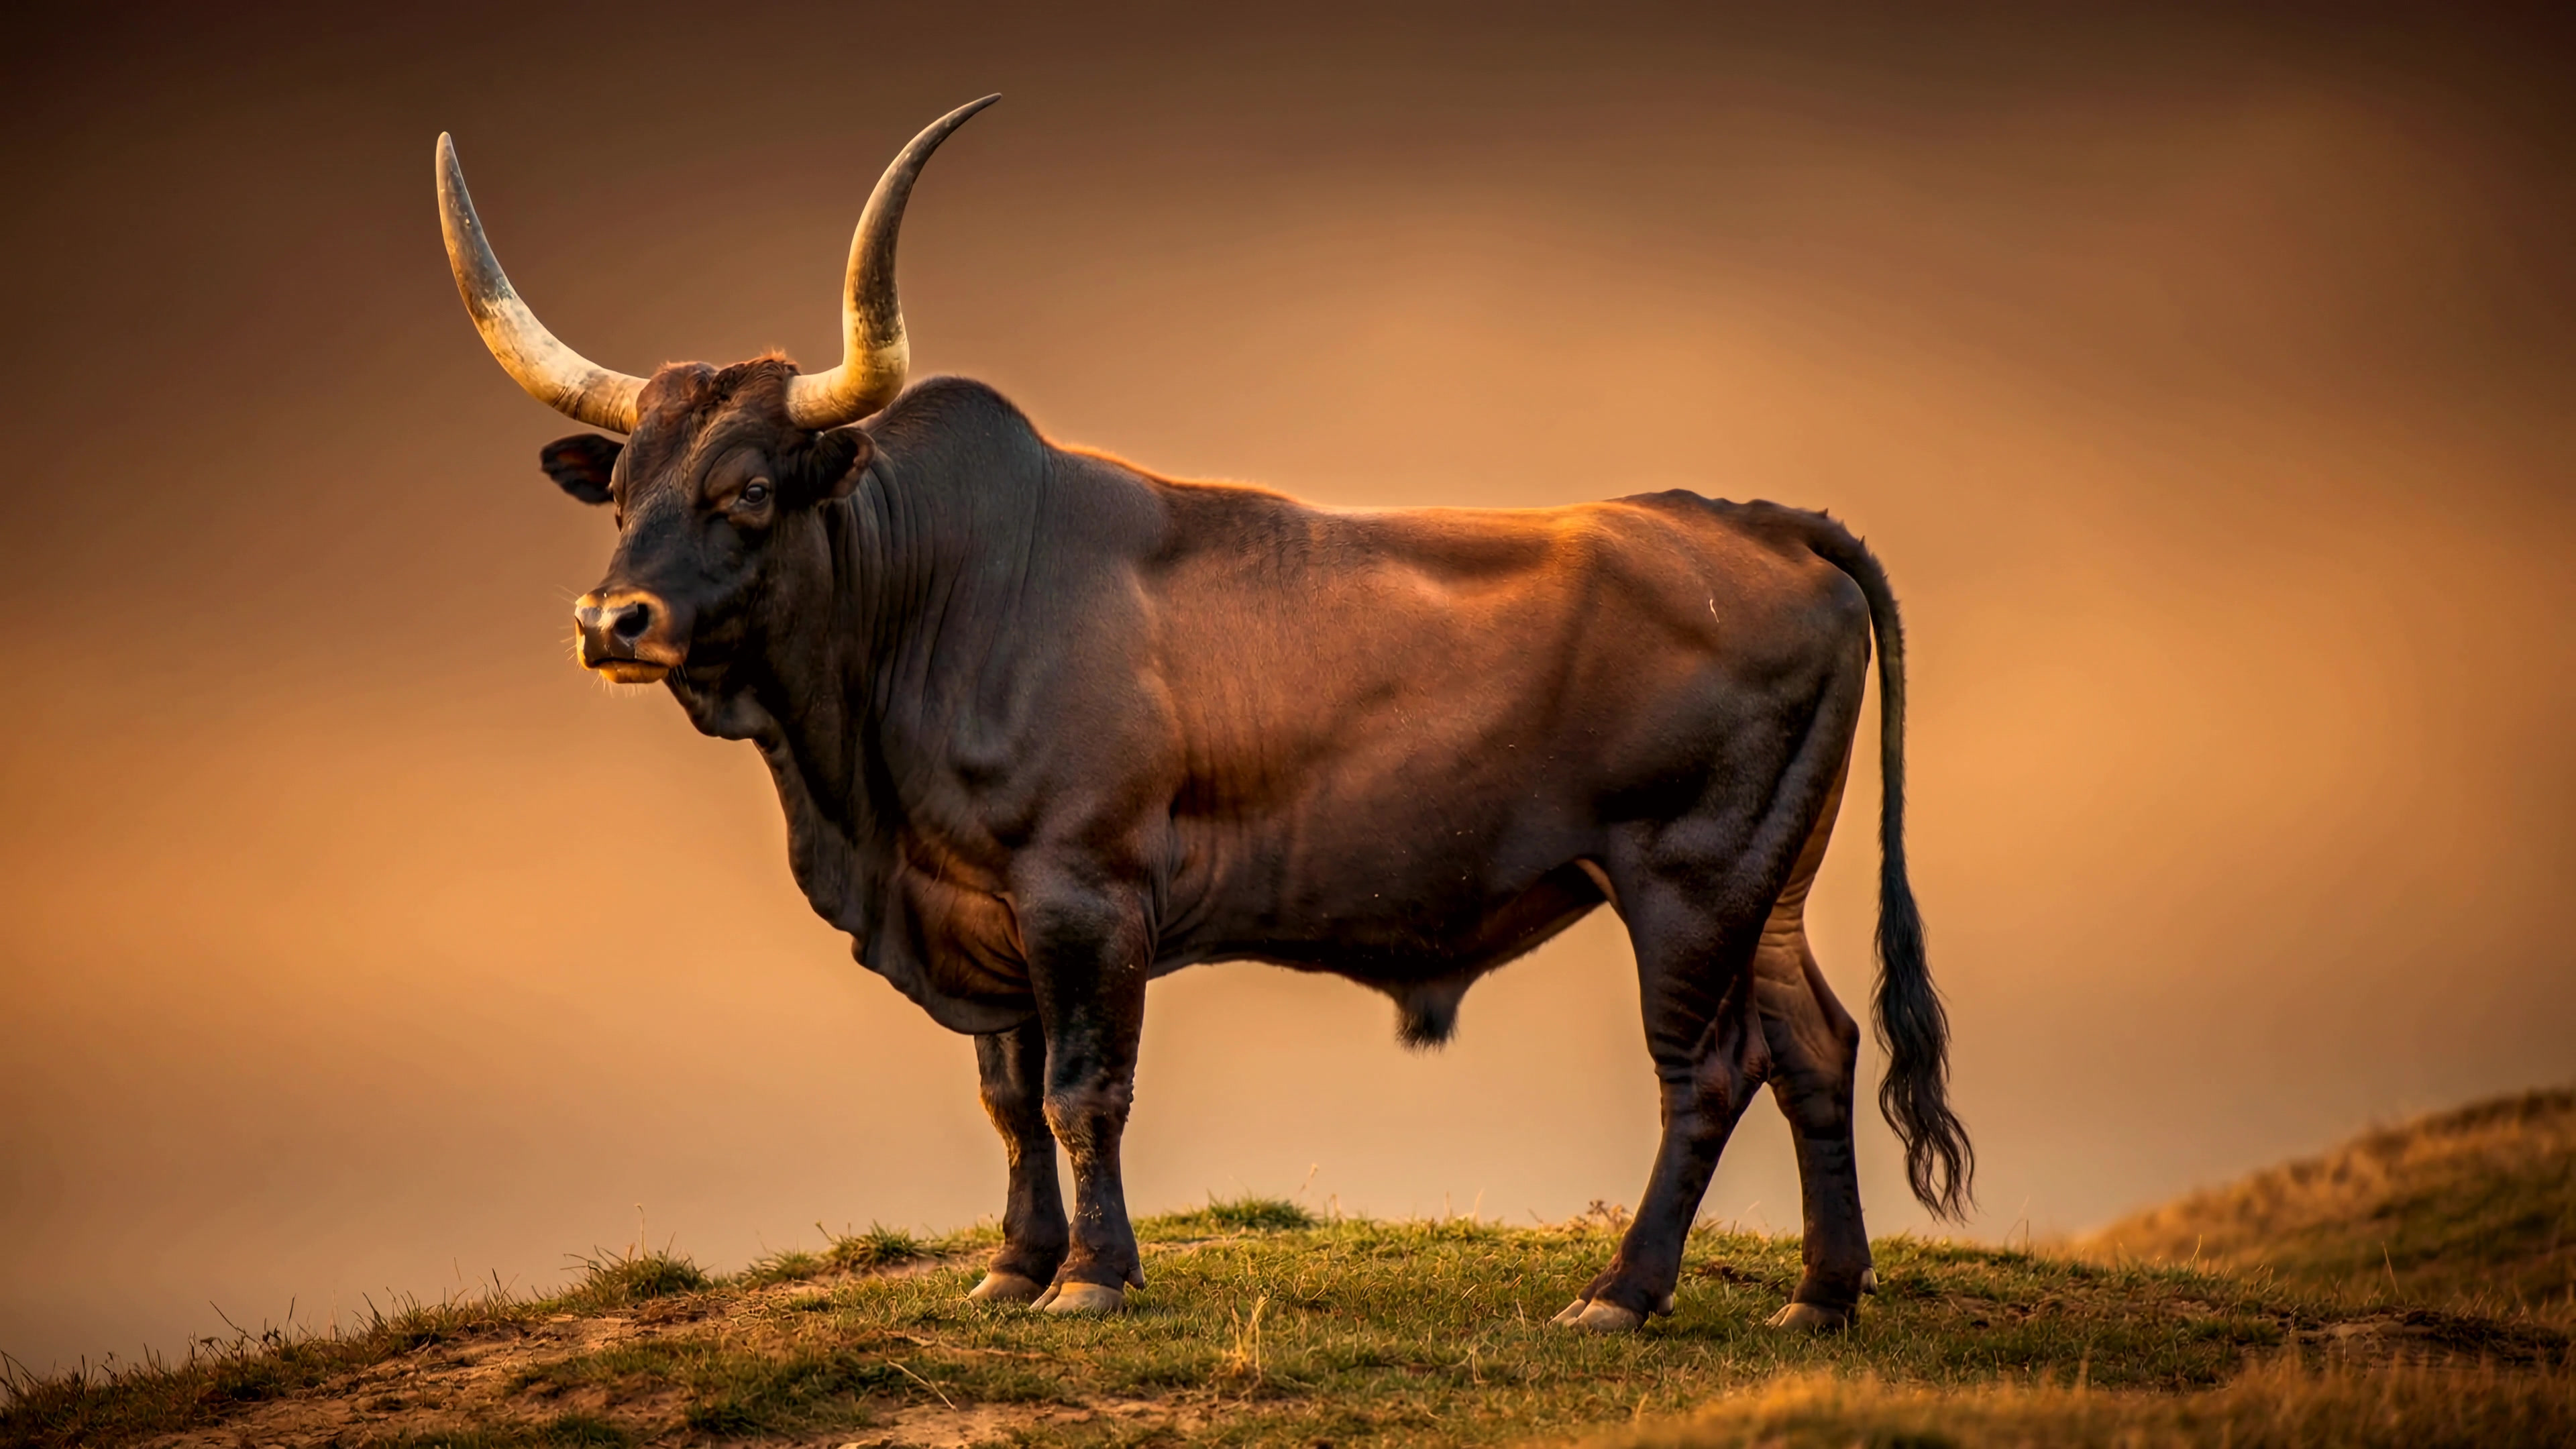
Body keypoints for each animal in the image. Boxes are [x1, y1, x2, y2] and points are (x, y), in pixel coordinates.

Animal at [434, 96, 1971, 1332]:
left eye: (750, 488)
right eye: (620, 486)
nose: (612, 622)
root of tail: (1754, 518)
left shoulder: (1083, 893)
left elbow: (1082, 1089)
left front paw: (1092, 1279)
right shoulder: (980, 903)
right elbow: (1007, 1095)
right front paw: (1011, 1270)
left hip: (1687, 878)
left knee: (1709, 1072)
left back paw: (1621, 1296)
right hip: (1767, 883)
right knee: (1818, 1047)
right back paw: (1821, 1299)